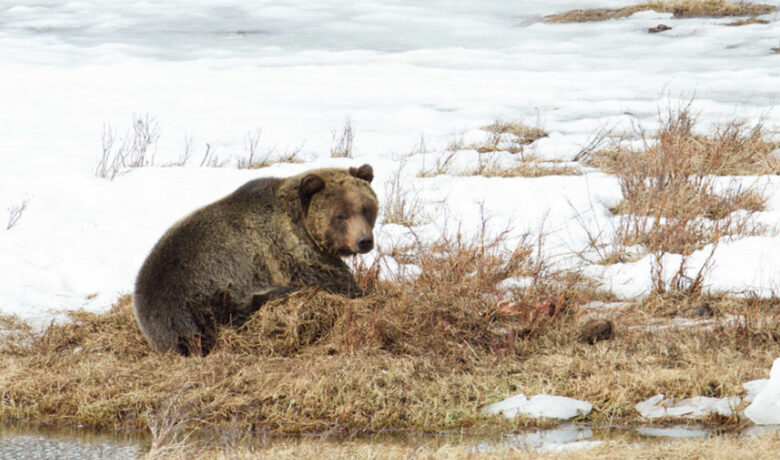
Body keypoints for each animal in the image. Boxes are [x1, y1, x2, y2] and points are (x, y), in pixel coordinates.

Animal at [133, 164, 378, 356]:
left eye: (366, 209)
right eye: (340, 215)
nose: (364, 241)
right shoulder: (290, 254)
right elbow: (331, 279)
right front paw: (360, 291)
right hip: (207, 295)